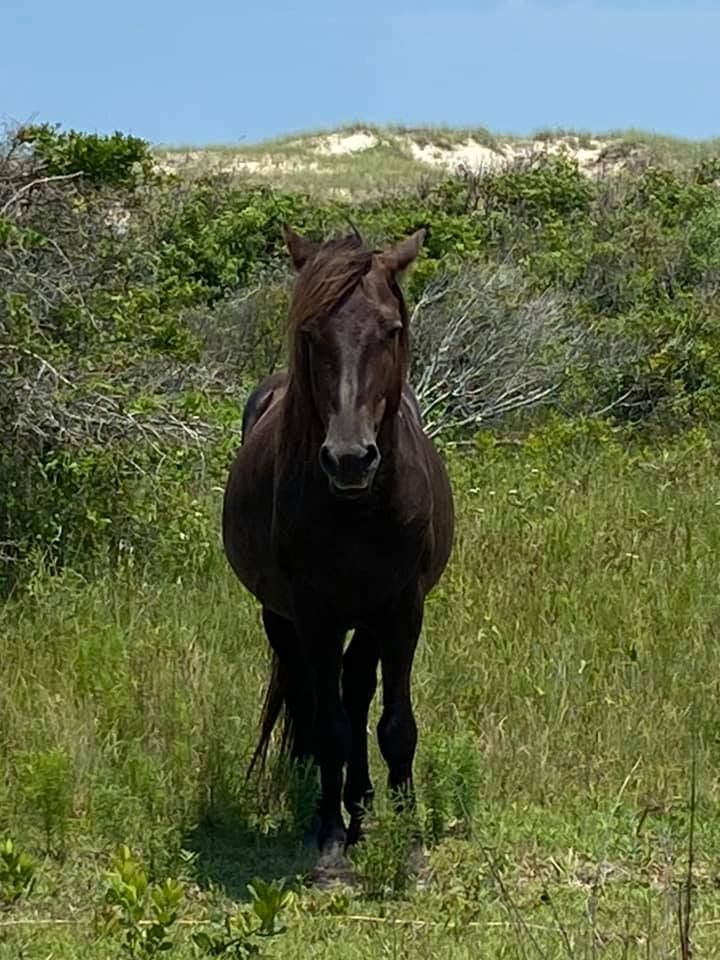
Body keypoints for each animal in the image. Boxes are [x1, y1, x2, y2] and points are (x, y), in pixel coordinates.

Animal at [222, 225, 455, 880]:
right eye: (310, 333)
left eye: (391, 329)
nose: (350, 459)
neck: (358, 511)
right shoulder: (314, 613)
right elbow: (328, 726)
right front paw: (328, 844)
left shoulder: (402, 610)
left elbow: (395, 724)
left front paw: (407, 842)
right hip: (280, 618)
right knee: (314, 698)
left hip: (369, 621)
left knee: (357, 691)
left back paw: (365, 808)